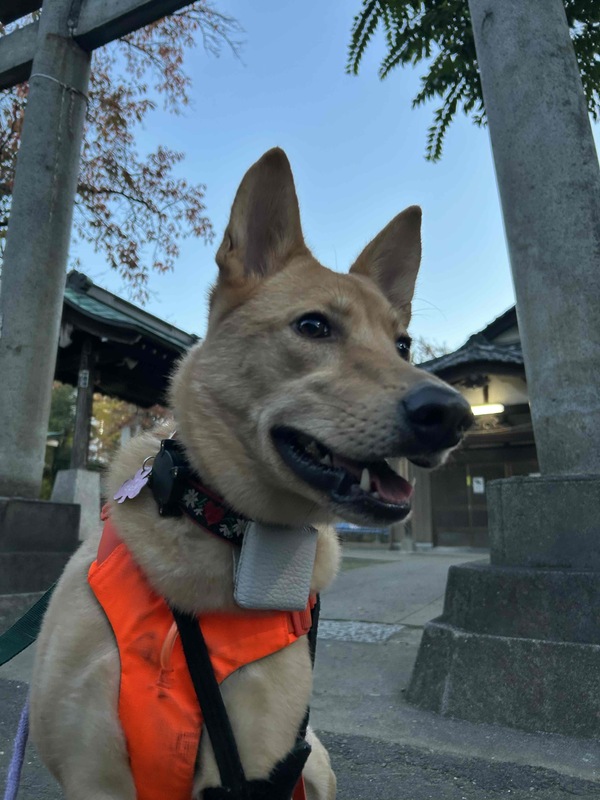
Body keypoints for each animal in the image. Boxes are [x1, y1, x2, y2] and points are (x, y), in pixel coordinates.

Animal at [30, 148, 473, 799]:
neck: (223, 529)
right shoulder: (91, 772)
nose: (452, 414)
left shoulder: (256, 761)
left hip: (313, 761)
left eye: (402, 345)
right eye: (313, 326)